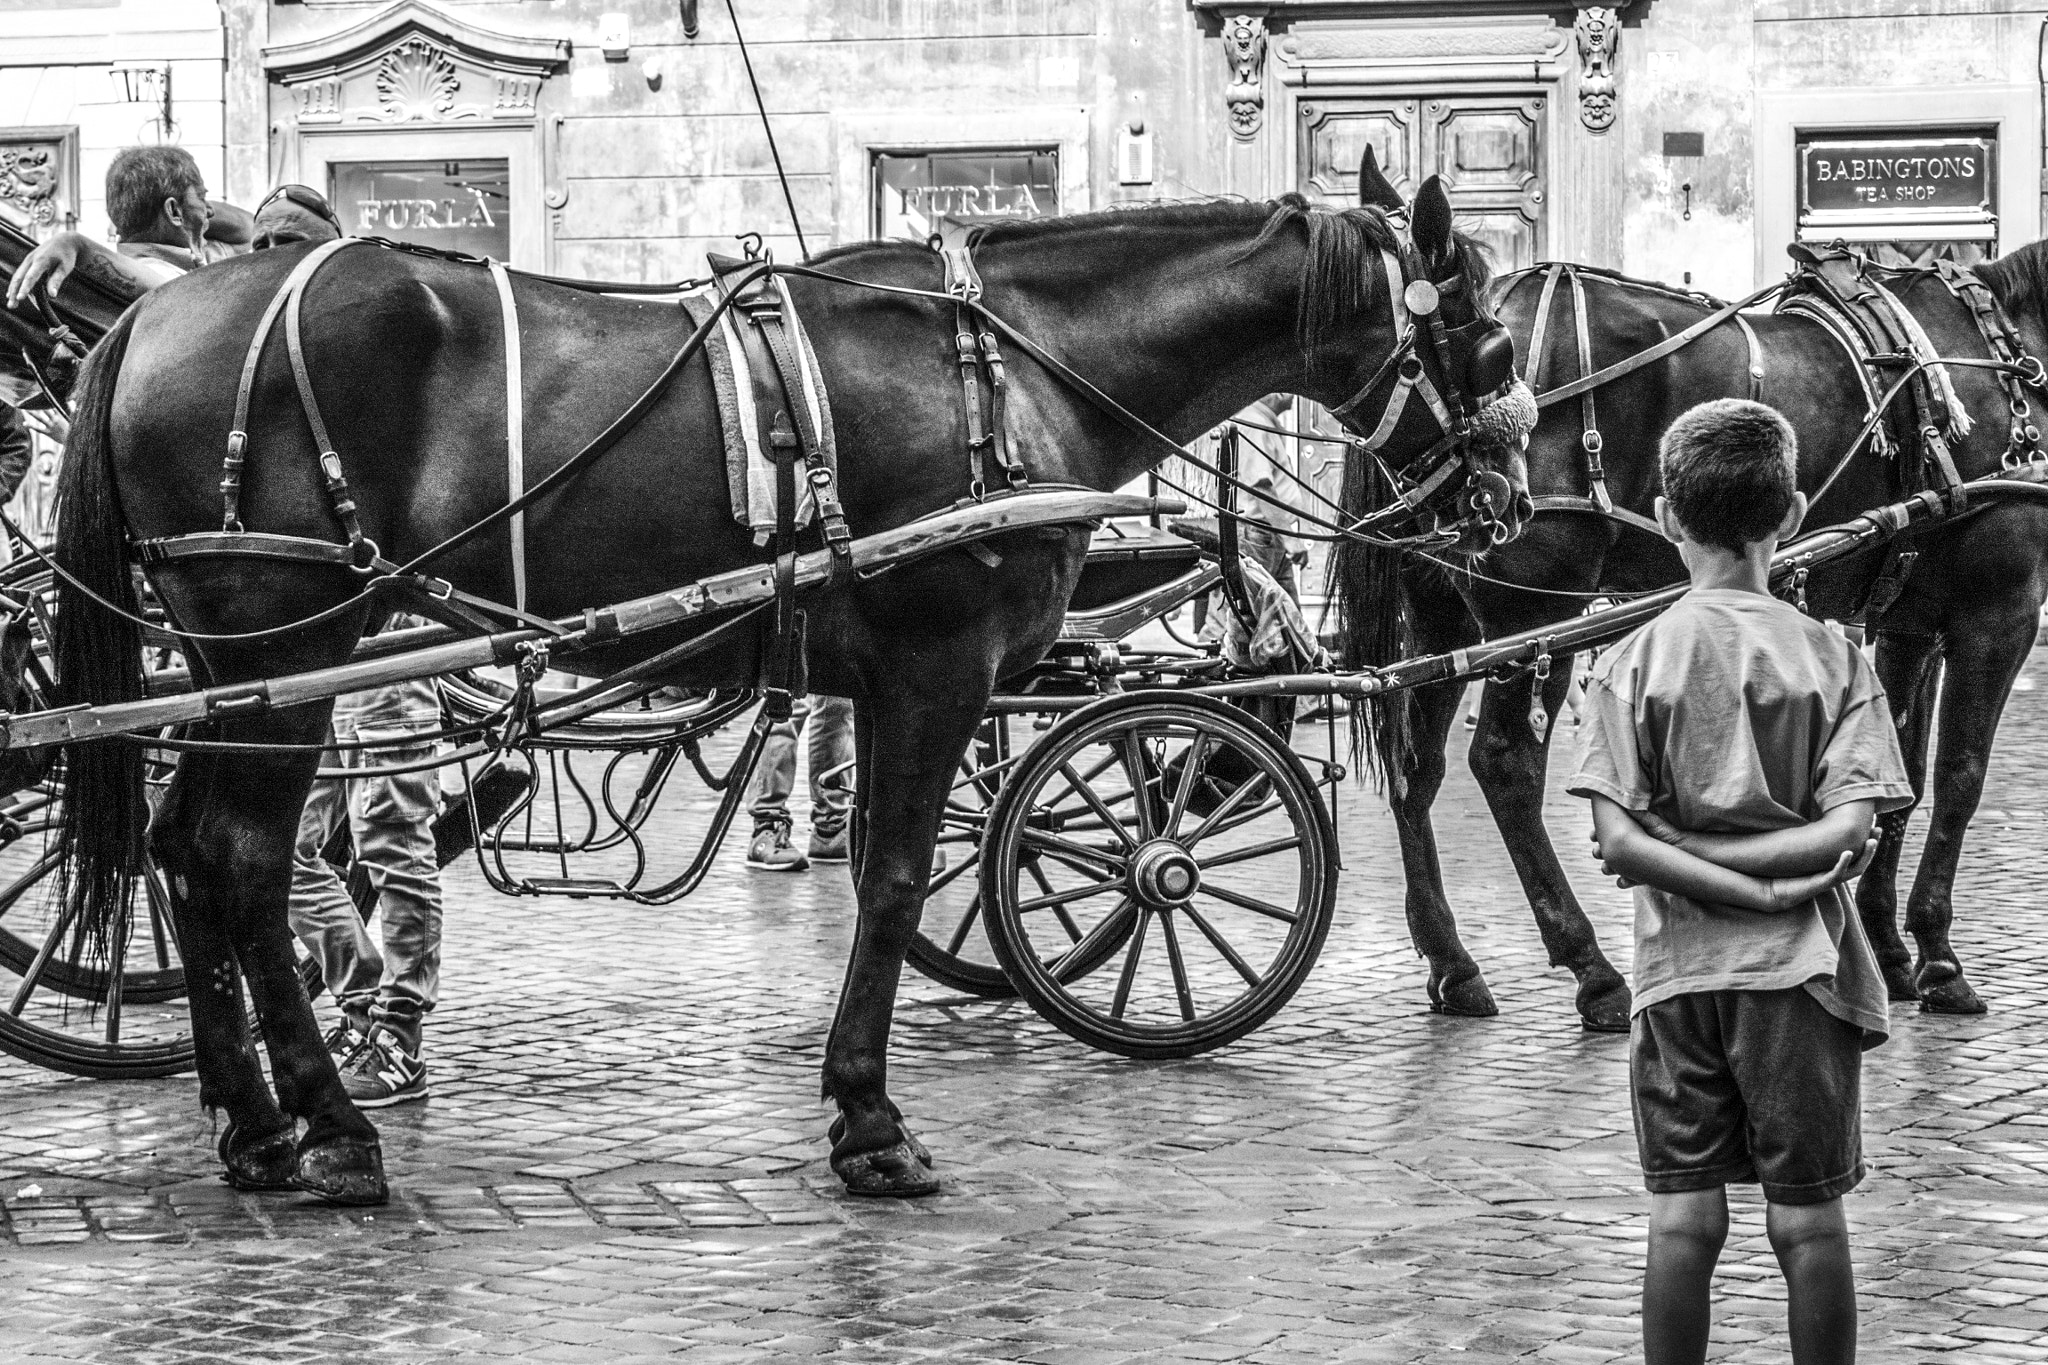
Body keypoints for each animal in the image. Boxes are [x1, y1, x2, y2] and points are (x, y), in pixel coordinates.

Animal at [44, 187, 1523, 1203]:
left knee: (188, 855)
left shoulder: (900, 680)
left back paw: (256, 1128)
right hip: (283, 648)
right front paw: (870, 1122)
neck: (1017, 366)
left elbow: (921, 853)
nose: (1507, 502)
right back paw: (332, 1130)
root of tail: (157, 310)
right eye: (1494, 345)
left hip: (239, 668)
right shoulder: (937, 668)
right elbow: (891, 879)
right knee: (239, 860)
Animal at [1335, 208, 2048, 1031]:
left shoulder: (1910, 624)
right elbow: (1961, 776)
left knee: (1417, 768)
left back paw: (1452, 964)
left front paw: (1890, 952)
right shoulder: (2000, 610)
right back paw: (1592, 969)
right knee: (1505, 764)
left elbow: (1899, 776)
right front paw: (1937, 958)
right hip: (1534, 604)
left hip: (1444, 614)